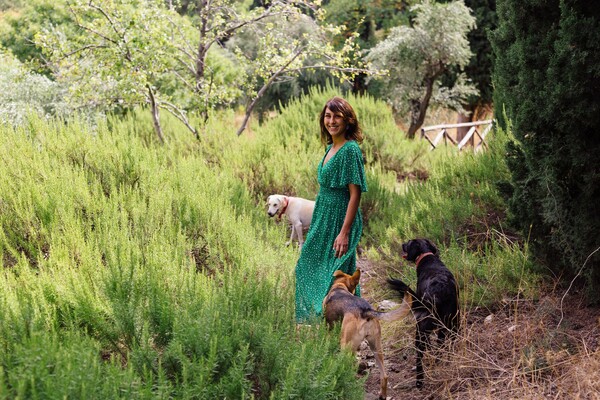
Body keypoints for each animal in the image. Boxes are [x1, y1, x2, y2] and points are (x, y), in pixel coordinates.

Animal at [324, 268, 412, 400]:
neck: (339, 287)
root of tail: (365, 311)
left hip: (346, 345)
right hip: (376, 347)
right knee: (384, 375)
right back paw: (382, 395)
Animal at [390, 238, 460, 388]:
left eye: (408, 243)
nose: (402, 244)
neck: (427, 257)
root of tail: (440, 290)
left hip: (421, 328)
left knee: (420, 355)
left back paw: (419, 381)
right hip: (453, 323)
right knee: (444, 345)